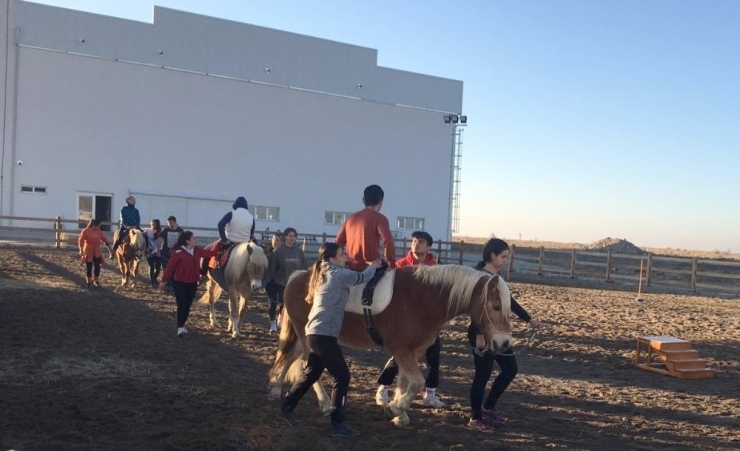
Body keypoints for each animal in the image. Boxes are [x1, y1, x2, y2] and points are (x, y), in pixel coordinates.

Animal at [268, 264, 516, 428]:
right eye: (495, 306)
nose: (504, 343)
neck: (421, 299)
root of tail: (297, 277)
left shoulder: (413, 350)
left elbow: (405, 381)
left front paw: (399, 413)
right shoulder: (400, 349)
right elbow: (417, 382)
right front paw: (396, 408)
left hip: (310, 337)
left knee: (291, 356)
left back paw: (276, 388)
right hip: (308, 335)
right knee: (307, 367)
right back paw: (326, 404)